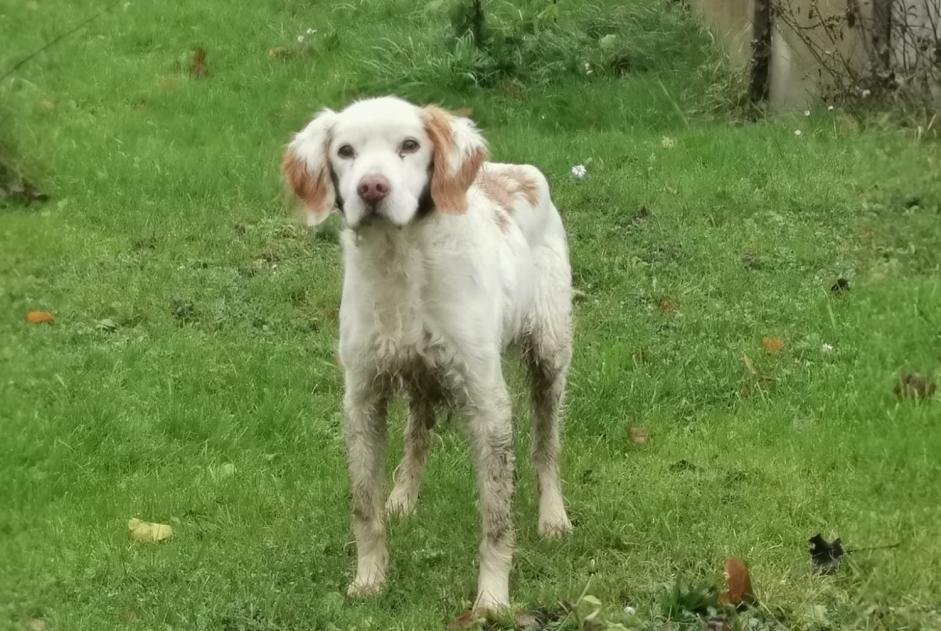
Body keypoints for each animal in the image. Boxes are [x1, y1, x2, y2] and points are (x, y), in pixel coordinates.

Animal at [280, 96, 572, 608]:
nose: (372, 187)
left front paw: (492, 598)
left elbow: (496, 517)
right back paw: (402, 497)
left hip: (549, 356)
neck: (400, 265)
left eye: (410, 145)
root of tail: (516, 171)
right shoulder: (363, 397)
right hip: (421, 378)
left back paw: (553, 517)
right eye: (345, 151)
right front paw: (369, 579)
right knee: (417, 435)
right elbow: (364, 506)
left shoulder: (487, 403)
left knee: (547, 445)